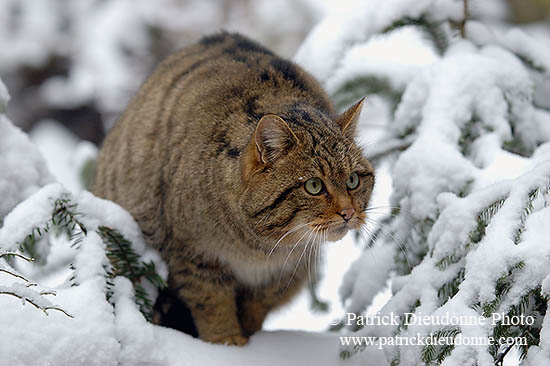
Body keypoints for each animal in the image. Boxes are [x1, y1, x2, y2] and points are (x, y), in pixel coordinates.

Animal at [94, 32, 376, 346]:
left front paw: (249, 338)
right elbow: (212, 304)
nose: (348, 212)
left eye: (353, 181)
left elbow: (257, 306)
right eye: (314, 185)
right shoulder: (191, 254)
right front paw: (226, 342)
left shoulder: (286, 272)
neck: (258, 248)